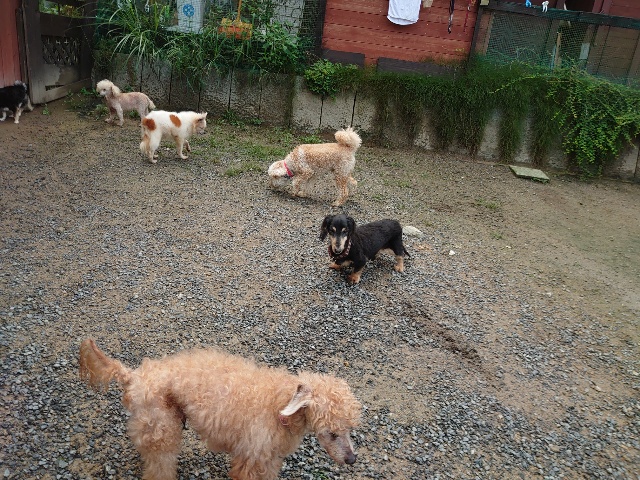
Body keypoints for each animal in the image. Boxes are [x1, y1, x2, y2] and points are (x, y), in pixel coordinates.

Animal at [79, 338, 361, 480]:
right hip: (162, 429)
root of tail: (133, 376)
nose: (352, 460)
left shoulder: (267, 460)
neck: (278, 405)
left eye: (349, 429)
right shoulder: (251, 459)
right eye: (331, 433)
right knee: (160, 468)